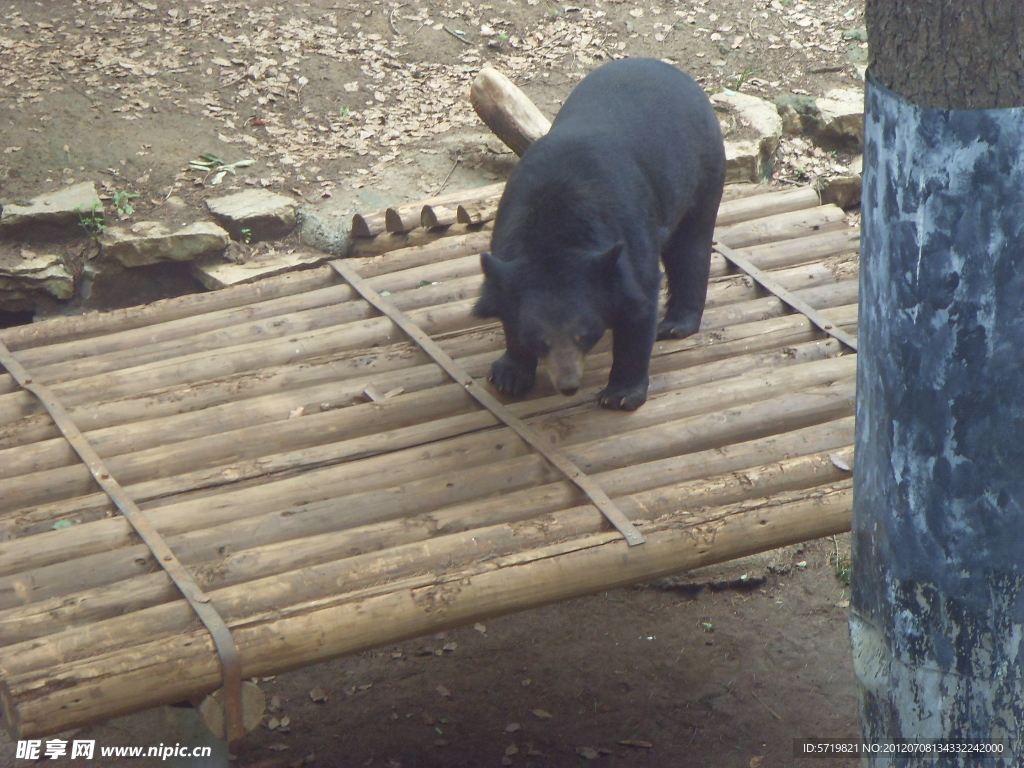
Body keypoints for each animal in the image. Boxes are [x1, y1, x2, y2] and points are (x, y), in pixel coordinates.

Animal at [473, 57, 724, 411]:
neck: (554, 228)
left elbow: (639, 302)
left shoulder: (626, 228)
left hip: (703, 170)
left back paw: (677, 324)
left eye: (584, 334)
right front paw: (509, 375)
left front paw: (621, 394)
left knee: (691, 248)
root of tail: (666, 67)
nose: (567, 385)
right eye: (540, 341)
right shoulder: (508, 230)